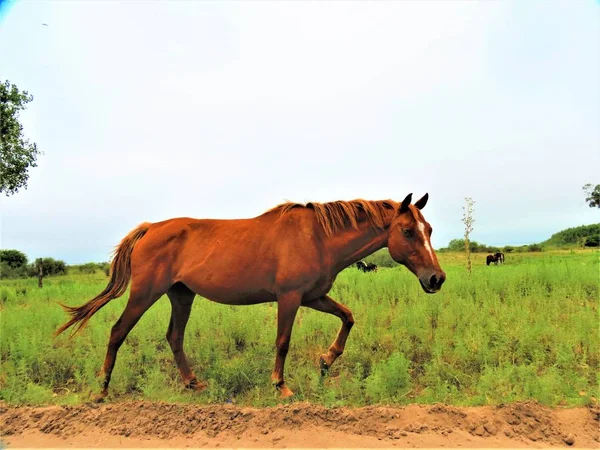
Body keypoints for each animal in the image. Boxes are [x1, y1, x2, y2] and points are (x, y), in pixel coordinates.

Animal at [55, 193, 446, 400]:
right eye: (408, 231)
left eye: (428, 229)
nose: (436, 278)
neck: (318, 237)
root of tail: (150, 228)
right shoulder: (290, 298)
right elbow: (283, 341)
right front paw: (281, 387)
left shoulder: (314, 297)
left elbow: (348, 317)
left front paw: (326, 360)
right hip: (145, 293)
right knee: (118, 332)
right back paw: (102, 390)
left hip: (181, 295)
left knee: (174, 337)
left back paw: (193, 383)